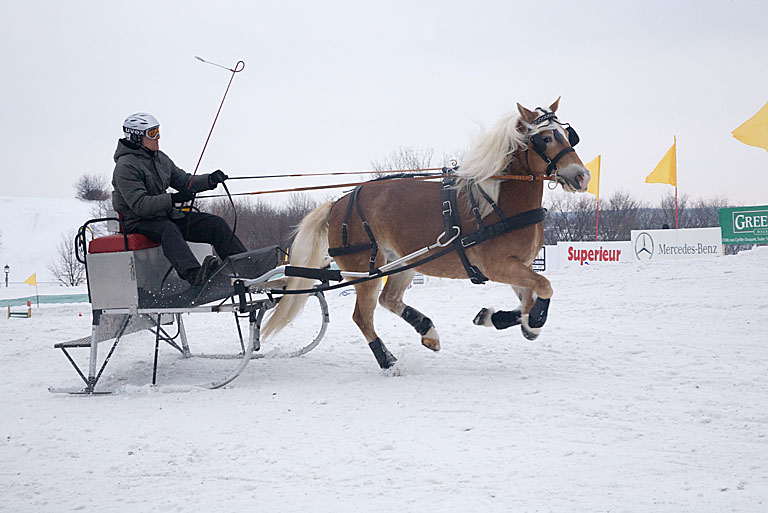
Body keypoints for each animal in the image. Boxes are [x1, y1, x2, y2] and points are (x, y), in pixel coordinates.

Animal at [263, 98, 591, 369]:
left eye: (567, 134)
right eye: (545, 138)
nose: (582, 176)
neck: (498, 203)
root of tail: (337, 203)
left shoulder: (519, 267)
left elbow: (528, 304)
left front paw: (495, 317)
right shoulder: (498, 266)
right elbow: (543, 290)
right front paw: (525, 320)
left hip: (402, 262)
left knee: (389, 300)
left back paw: (427, 330)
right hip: (366, 269)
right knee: (363, 315)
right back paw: (388, 362)